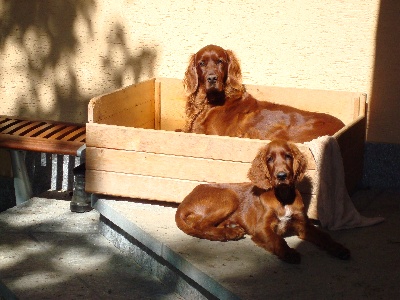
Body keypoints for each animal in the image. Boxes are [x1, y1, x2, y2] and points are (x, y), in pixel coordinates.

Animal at [175, 139, 350, 264]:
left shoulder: (303, 224)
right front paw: (289, 252)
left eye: (288, 156)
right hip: (229, 197)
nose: (281, 176)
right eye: (269, 159)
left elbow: (324, 236)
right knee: (200, 226)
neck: (283, 197)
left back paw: (231, 227)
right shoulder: (262, 228)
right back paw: (229, 233)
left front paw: (338, 248)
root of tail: (183, 203)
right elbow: (278, 239)